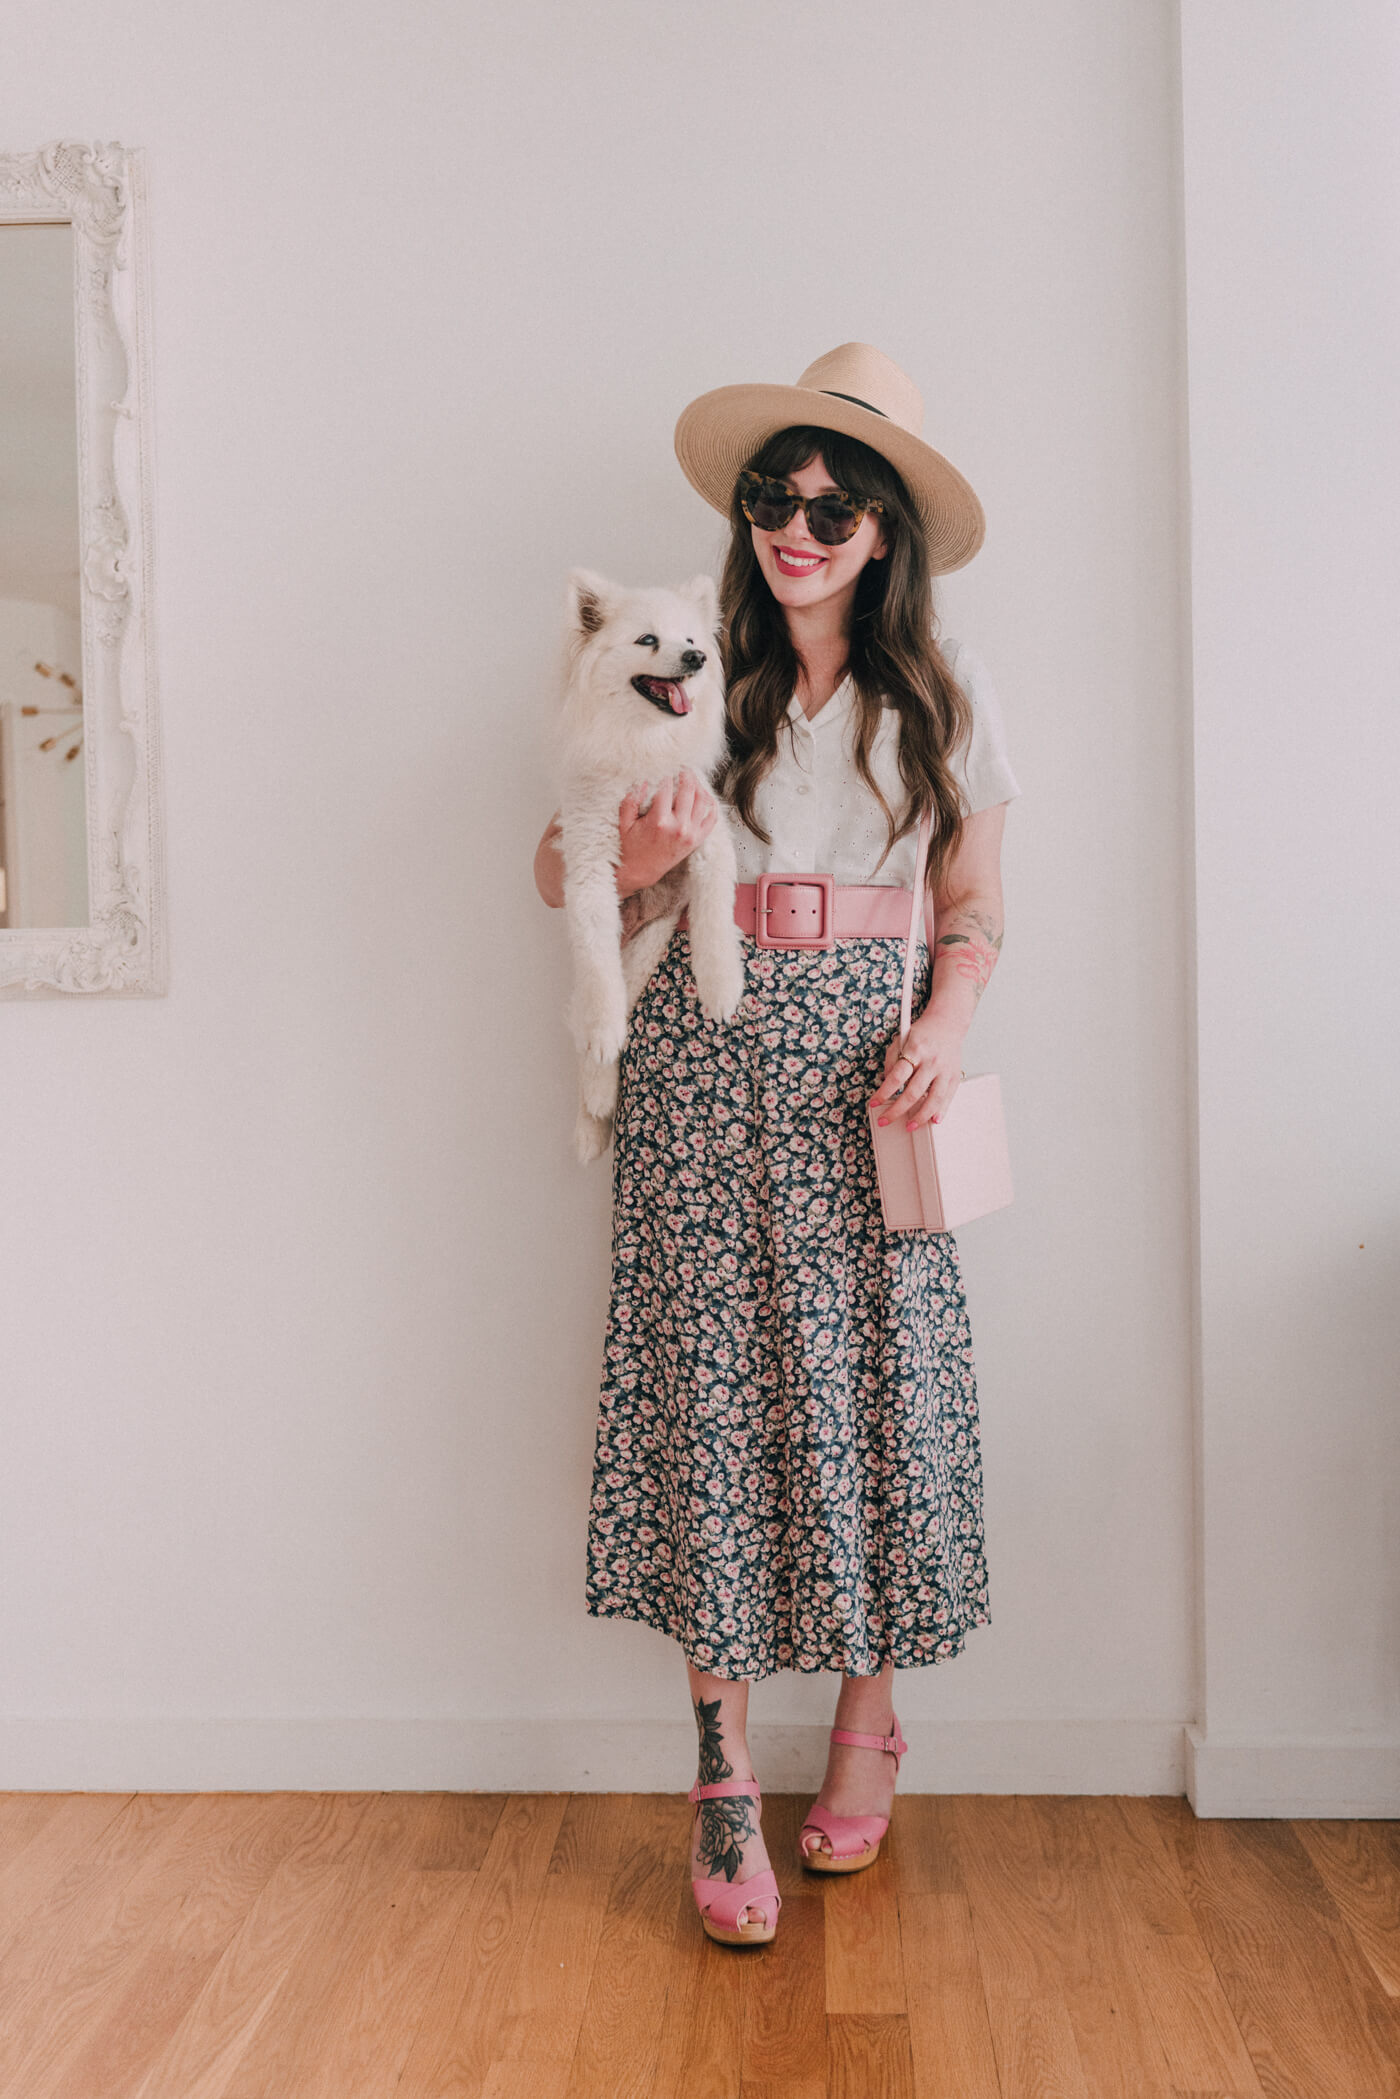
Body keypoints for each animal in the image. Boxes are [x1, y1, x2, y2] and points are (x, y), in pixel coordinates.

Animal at [554, 575, 743, 1167]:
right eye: (647, 640)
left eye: (691, 639)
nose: (696, 657)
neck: (644, 745)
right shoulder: (589, 864)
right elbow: (598, 977)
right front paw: (602, 1034)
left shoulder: (709, 838)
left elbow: (713, 920)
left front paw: (721, 989)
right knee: (593, 1028)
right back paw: (591, 1114)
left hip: (649, 945)